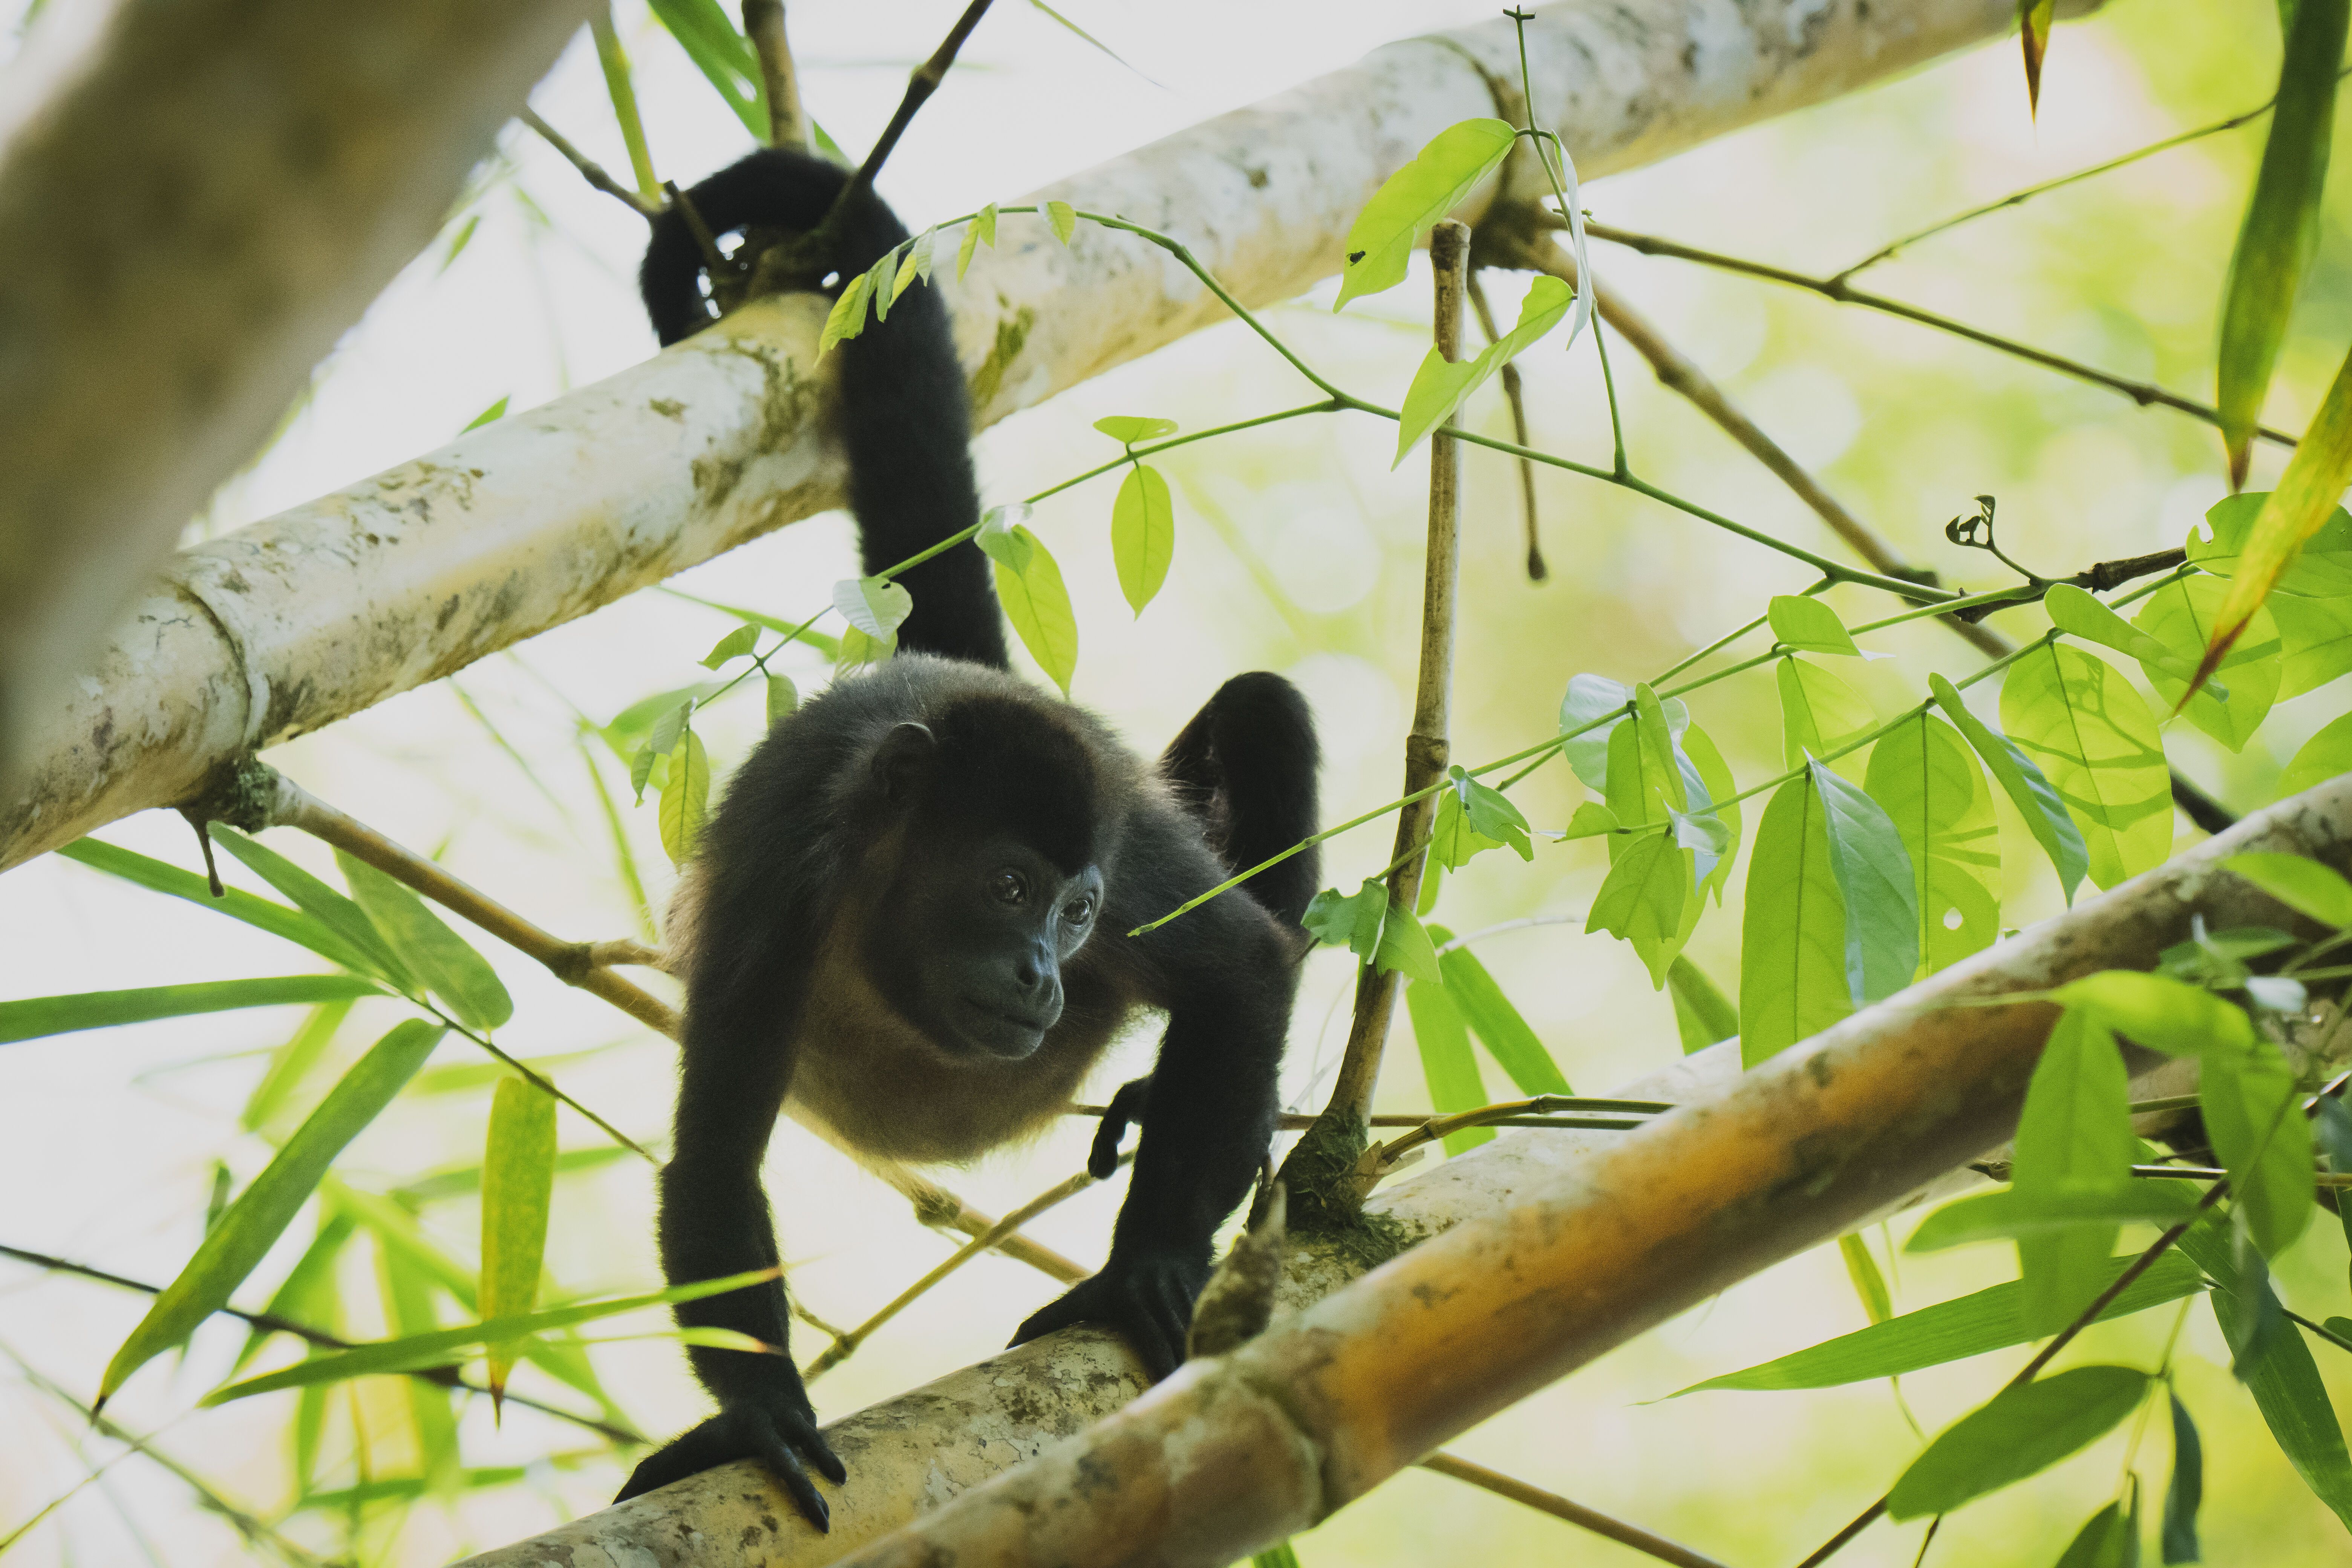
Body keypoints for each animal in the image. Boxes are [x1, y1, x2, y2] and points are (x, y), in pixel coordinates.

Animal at [613, 147, 1322, 1532]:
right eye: (1005, 888)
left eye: (1076, 909)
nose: (1047, 972)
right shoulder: (782, 887)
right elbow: (712, 1154)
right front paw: (756, 1419)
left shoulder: (1127, 843)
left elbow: (1249, 970)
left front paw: (1146, 1267)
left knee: (1266, 713)